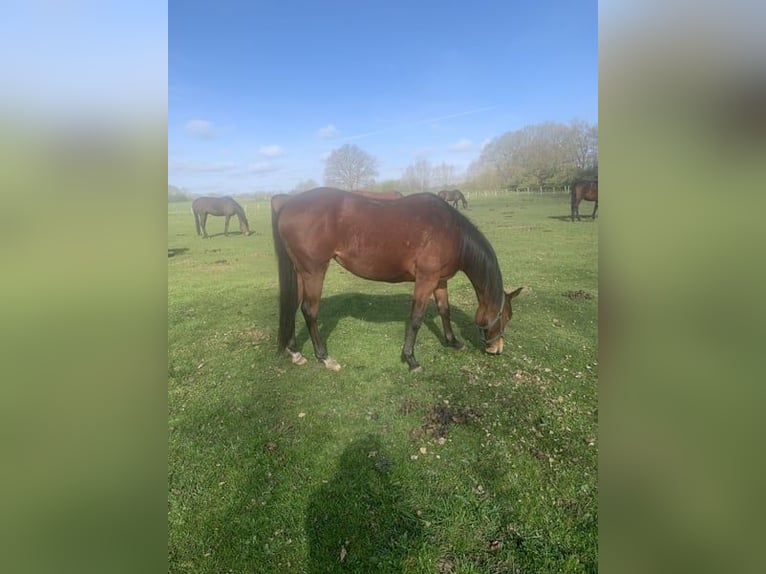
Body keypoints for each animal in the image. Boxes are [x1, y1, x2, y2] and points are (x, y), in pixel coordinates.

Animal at [271, 187, 522, 372]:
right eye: (506, 316)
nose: (497, 349)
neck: (453, 232)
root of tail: (288, 203)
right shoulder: (425, 280)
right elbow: (416, 318)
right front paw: (411, 359)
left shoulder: (439, 280)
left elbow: (444, 310)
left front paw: (453, 342)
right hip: (314, 271)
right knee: (309, 311)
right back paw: (324, 357)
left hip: (300, 272)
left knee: (293, 306)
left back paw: (295, 352)